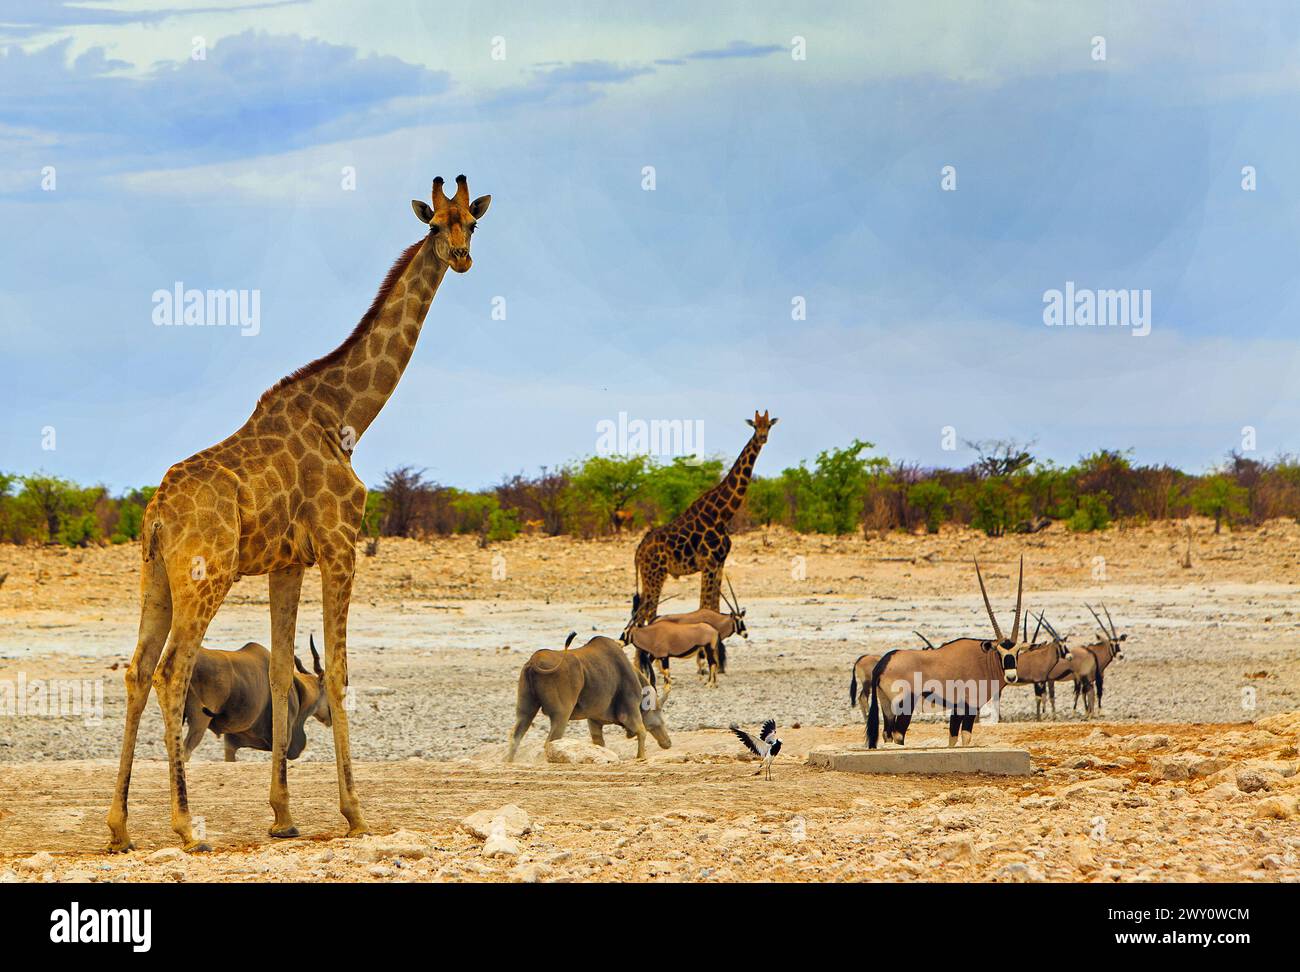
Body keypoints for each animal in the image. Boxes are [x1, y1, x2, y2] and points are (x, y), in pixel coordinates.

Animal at [105, 174, 491, 852]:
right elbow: (337, 672)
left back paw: (119, 827)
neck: (348, 415)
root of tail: (155, 513)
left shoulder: (287, 564)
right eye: (436, 223)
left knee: (137, 669)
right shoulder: (340, 545)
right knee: (172, 671)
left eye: (472, 221)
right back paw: (185, 825)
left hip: (155, 579)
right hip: (205, 575)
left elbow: (285, 674)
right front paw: (355, 811)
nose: (463, 257)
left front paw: (283, 815)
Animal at [634, 408, 774, 623]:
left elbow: (713, 606)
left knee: (643, 612)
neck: (723, 514)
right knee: (645, 612)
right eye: (754, 426)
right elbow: (705, 606)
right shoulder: (708, 564)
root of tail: (639, 551)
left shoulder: (719, 563)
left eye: (769, 425)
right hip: (655, 573)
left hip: (650, 575)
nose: (762, 437)